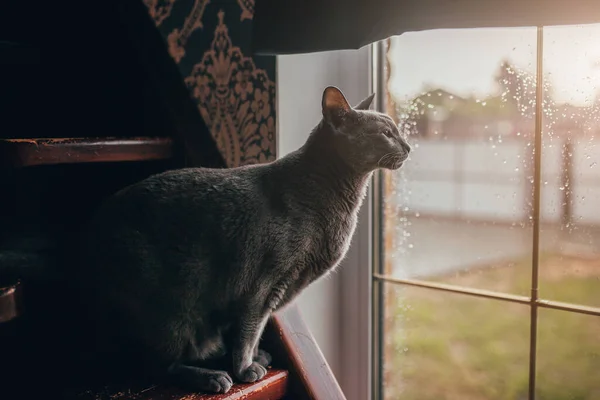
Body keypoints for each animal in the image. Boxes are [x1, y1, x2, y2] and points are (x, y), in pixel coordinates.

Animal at [82, 86, 410, 392]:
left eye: (395, 130)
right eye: (386, 134)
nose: (407, 147)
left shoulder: (273, 291)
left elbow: (252, 330)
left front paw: (250, 359)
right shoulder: (259, 285)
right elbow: (249, 330)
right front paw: (244, 369)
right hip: (170, 310)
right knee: (157, 367)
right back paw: (212, 377)